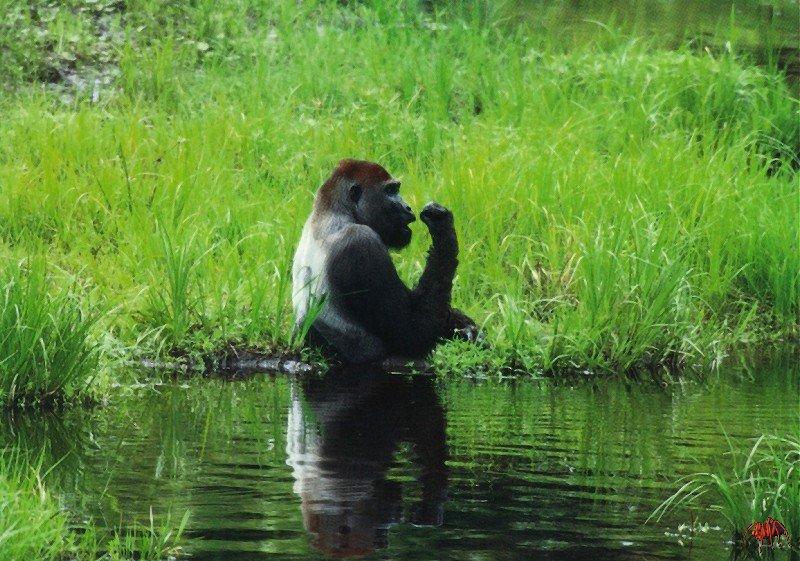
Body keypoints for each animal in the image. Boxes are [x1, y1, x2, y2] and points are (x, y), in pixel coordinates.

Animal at [294, 159, 482, 364]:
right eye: (390, 191)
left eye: (396, 189)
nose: (407, 206)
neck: (335, 212)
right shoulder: (361, 242)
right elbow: (413, 332)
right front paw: (443, 230)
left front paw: (465, 326)